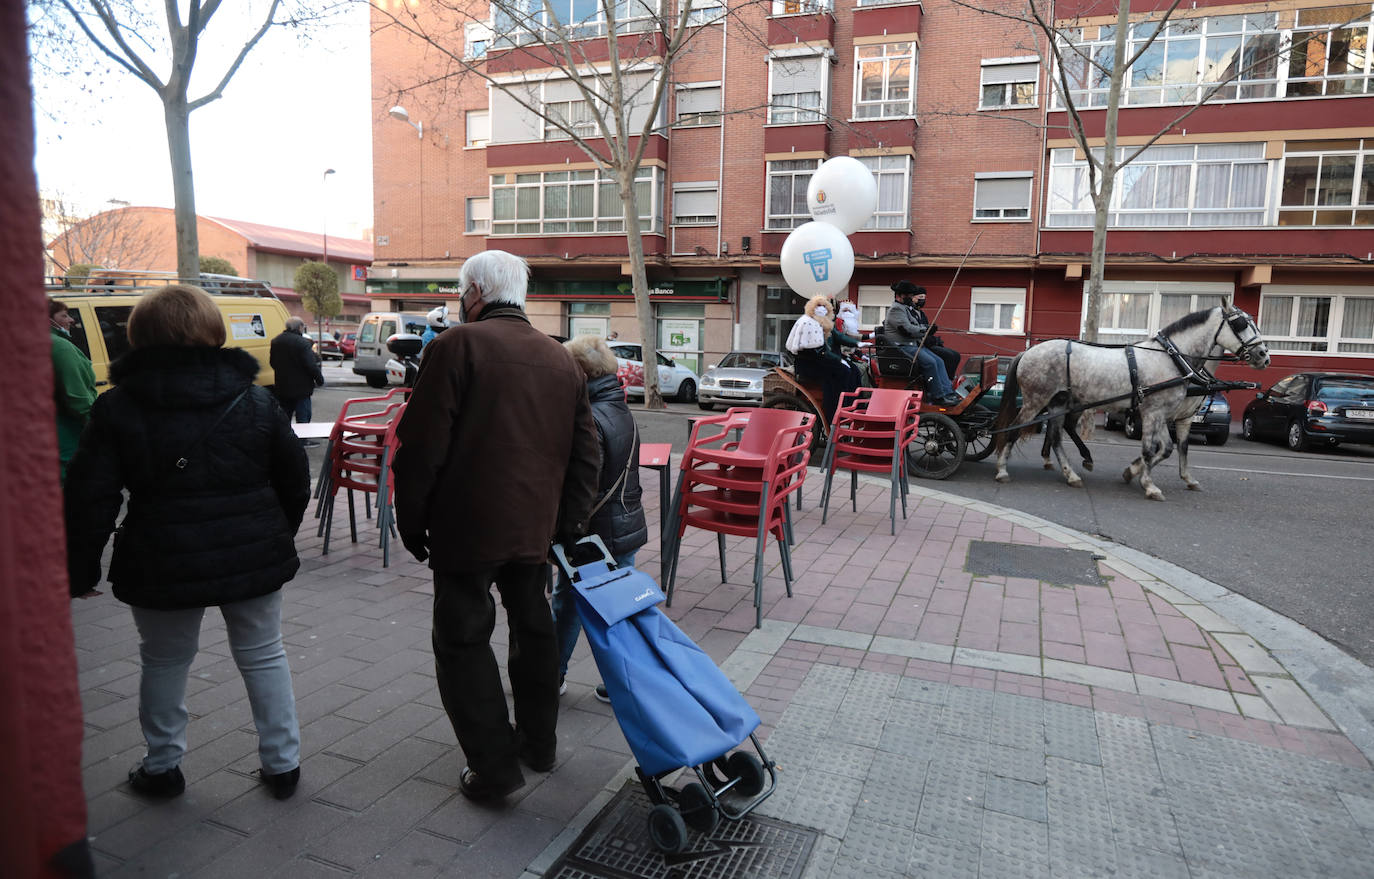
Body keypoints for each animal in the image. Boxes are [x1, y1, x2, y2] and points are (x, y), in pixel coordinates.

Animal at [989, 302, 1264, 497]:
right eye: (1240, 324)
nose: (1263, 354)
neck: (1171, 358)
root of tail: (1028, 351)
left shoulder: (1162, 414)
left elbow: (1168, 448)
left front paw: (1135, 472)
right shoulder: (1154, 413)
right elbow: (1151, 449)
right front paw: (1148, 484)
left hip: (1059, 402)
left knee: (1056, 436)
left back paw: (1071, 473)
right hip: (1036, 401)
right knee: (1014, 430)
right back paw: (1002, 469)